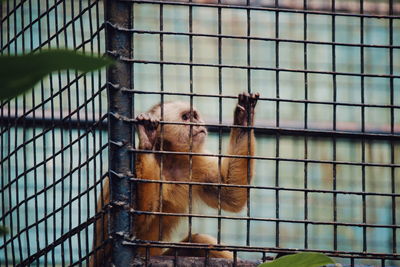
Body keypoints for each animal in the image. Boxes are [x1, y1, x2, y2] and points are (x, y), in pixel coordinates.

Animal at [90, 92, 260, 267]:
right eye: (186, 117)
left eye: (195, 116)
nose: (198, 124)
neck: (170, 160)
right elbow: (133, 226)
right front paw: (147, 141)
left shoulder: (196, 163)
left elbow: (231, 195)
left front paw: (244, 118)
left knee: (200, 242)